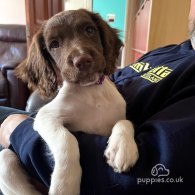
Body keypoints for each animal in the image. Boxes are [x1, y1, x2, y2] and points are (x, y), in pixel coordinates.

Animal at [0, 9, 139, 195]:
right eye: (54, 44)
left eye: (89, 30)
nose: (83, 60)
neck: (90, 91)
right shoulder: (45, 117)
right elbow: (67, 139)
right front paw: (64, 183)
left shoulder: (116, 114)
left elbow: (125, 121)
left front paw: (122, 148)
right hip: (5, 161)